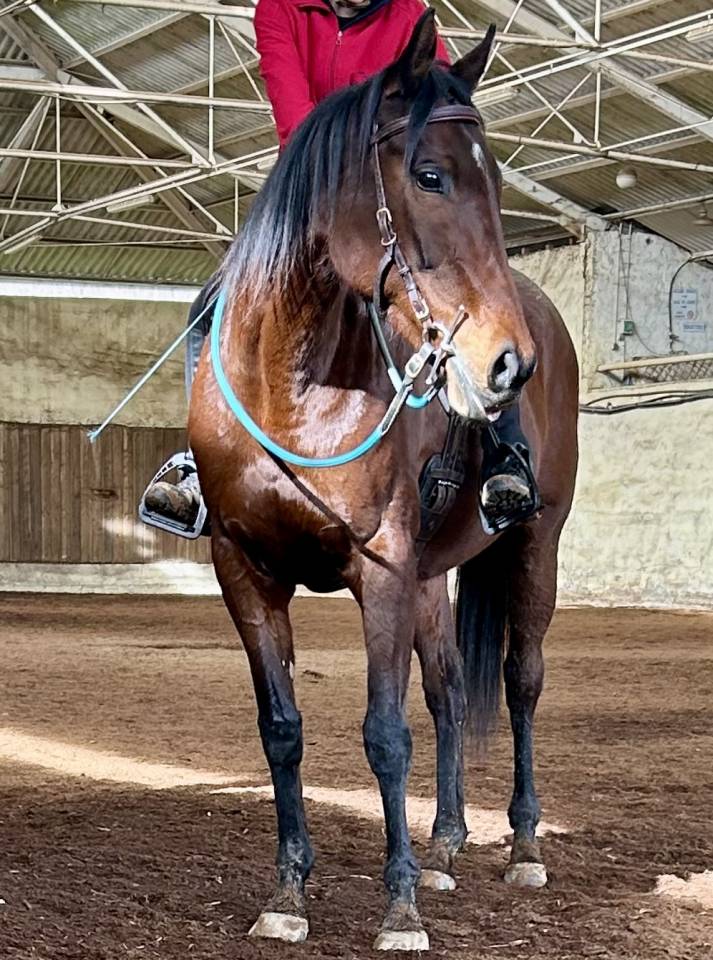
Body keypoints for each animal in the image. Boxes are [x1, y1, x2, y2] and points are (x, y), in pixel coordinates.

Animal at [189, 10, 578, 952]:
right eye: (429, 175)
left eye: (496, 180)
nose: (508, 365)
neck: (295, 385)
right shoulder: (243, 570)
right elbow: (283, 730)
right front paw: (288, 891)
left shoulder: (384, 572)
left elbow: (382, 734)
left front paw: (396, 906)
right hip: (436, 577)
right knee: (448, 692)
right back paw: (443, 845)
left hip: (532, 547)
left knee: (519, 682)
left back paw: (519, 845)